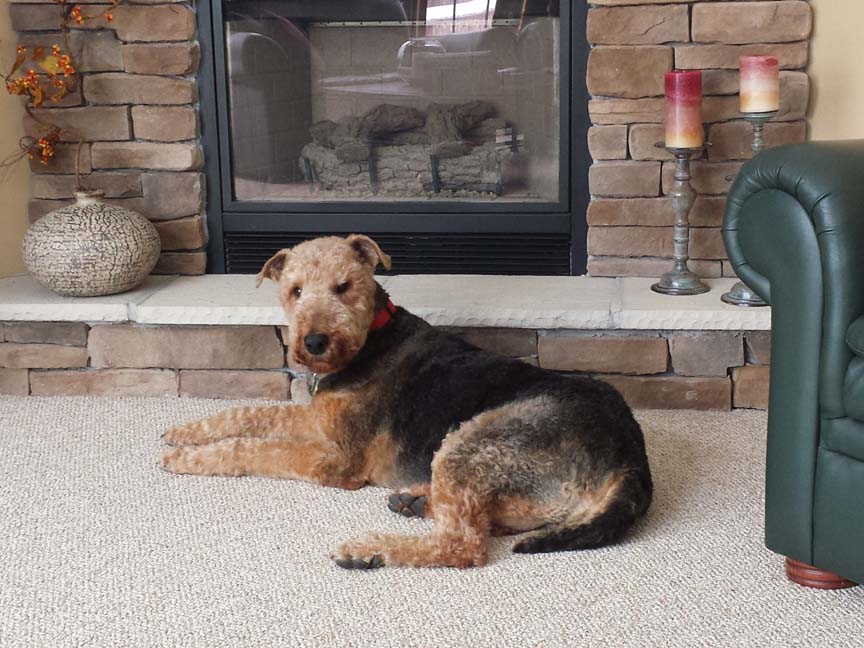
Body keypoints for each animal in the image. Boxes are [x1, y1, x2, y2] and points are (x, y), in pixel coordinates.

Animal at [162, 235, 652, 568]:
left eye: (344, 286)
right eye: (295, 290)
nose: (315, 342)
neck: (371, 341)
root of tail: (630, 458)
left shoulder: (336, 461)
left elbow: (254, 448)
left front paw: (186, 458)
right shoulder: (318, 421)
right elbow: (248, 414)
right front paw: (181, 433)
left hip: (472, 442)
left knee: (464, 545)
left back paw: (368, 549)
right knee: (480, 520)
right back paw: (414, 501)